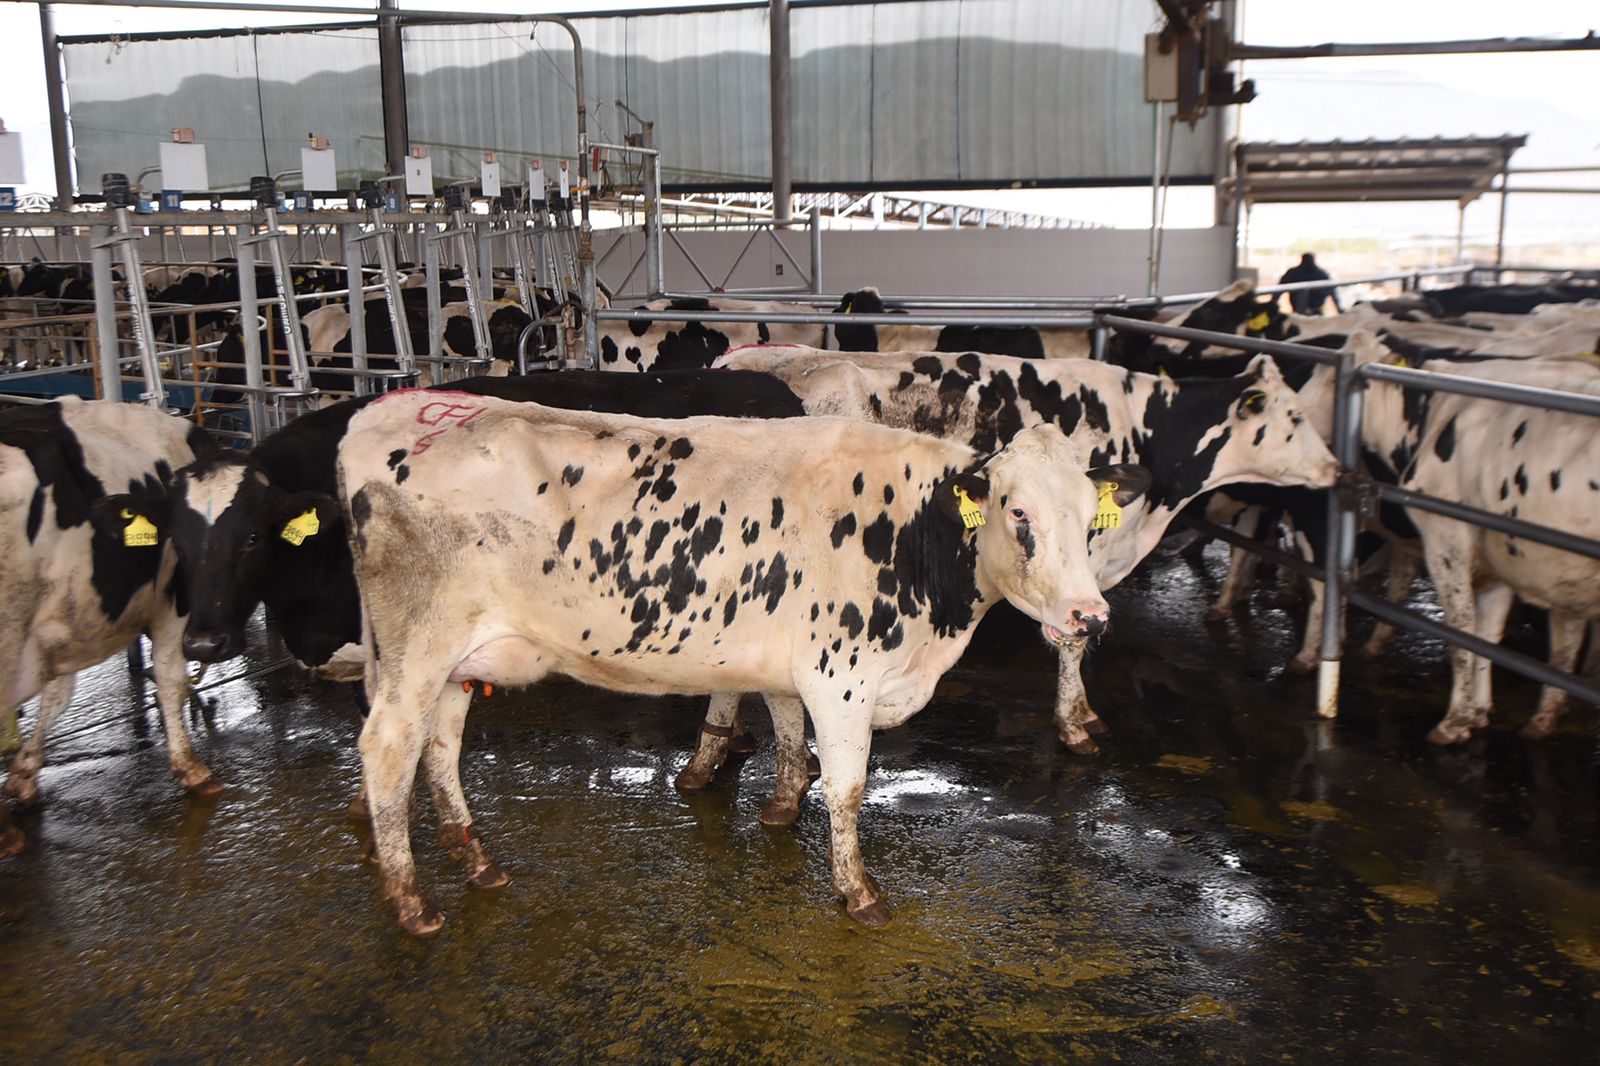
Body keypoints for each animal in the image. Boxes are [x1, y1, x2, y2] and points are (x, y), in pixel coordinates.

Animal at [0, 398, 217, 821]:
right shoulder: (173, 599)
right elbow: (170, 679)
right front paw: (190, 768)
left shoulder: (56, 622)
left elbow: (57, 696)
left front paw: (24, 773)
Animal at [339, 389, 1148, 933]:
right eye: (1019, 513)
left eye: (1090, 517)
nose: (1090, 615)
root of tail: (385, 411)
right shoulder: (841, 679)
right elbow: (846, 788)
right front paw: (857, 891)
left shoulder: (786, 661)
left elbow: (789, 736)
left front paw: (780, 809)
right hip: (420, 648)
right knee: (388, 749)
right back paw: (412, 902)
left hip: (457, 659)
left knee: (440, 747)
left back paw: (476, 861)